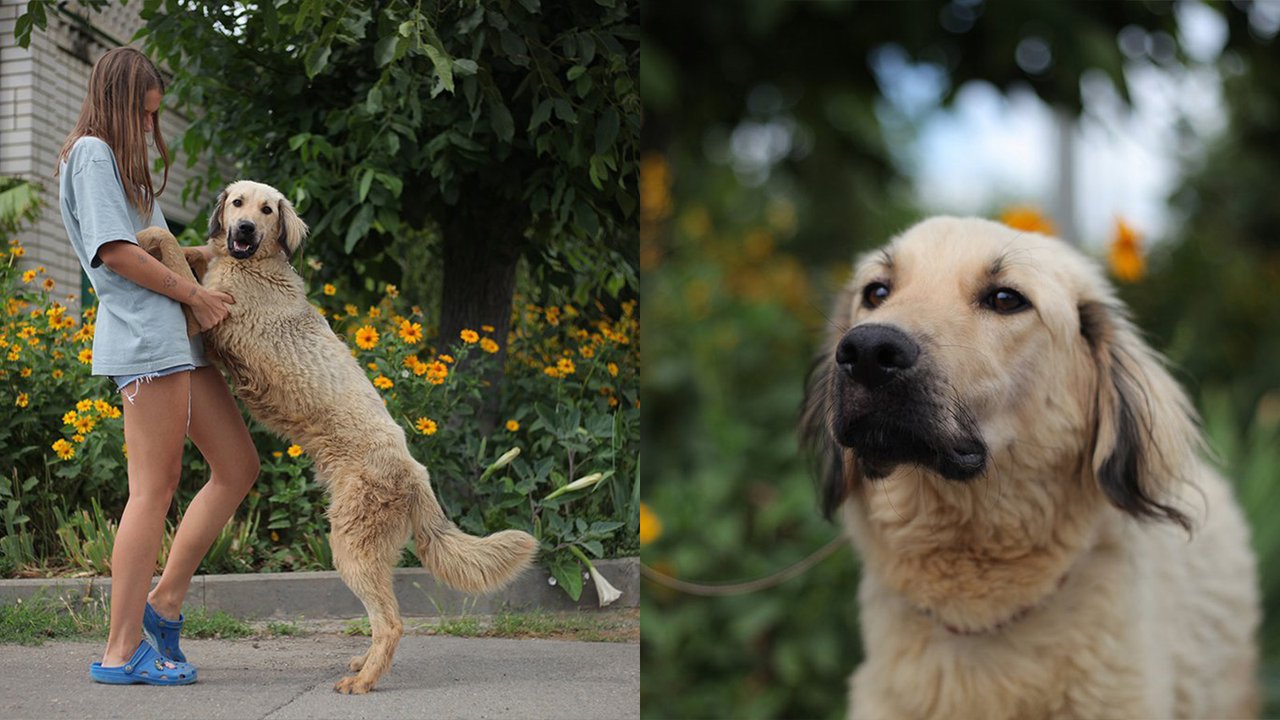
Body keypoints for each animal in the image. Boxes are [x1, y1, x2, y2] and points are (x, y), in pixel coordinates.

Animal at [137, 179, 537, 691]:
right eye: (237, 204)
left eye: (268, 210)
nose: (244, 229)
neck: (256, 266)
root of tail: (417, 473)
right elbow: (191, 253)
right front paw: (176, 244)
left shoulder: (198, 318)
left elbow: (173, 255)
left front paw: (150, 236)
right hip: (366, 551)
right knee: (382, 618)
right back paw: (362, 666)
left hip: (350, 547)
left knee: (391, 623)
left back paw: (363, 682)